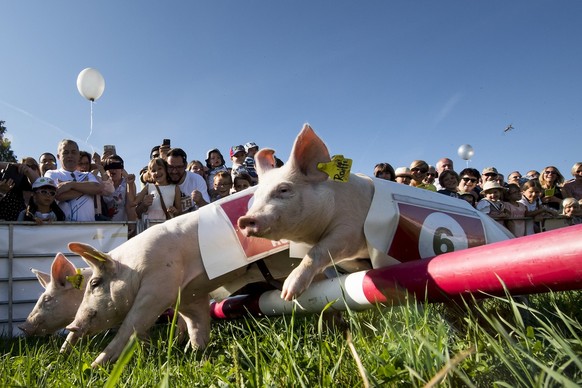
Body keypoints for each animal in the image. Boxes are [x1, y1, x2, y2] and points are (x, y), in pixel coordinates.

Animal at [240, 123, 376, 300]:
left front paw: (287, 293)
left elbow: (318, 251)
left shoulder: (351, 228)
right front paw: (286, 296)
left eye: (283, 189)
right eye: (256, 196)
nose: (243, 219)